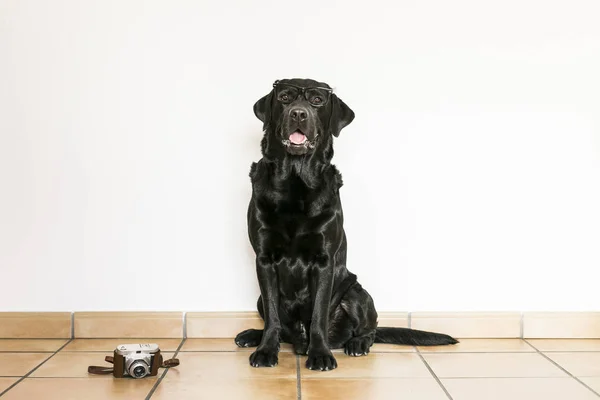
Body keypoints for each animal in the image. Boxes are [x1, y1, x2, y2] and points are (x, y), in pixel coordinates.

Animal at [237, 79, 458, 372]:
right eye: (284, 98)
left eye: (317, 100)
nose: (298, 114)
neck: (295, 180)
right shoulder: (264, 260)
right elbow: (273, 316)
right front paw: (265, 351)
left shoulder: (324, 261)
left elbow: (318, 313)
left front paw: (320, 354)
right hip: (260, 298)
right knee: (279, 325)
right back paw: (254, 335)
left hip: (356, 291)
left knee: (369, 329)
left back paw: (356, 344)